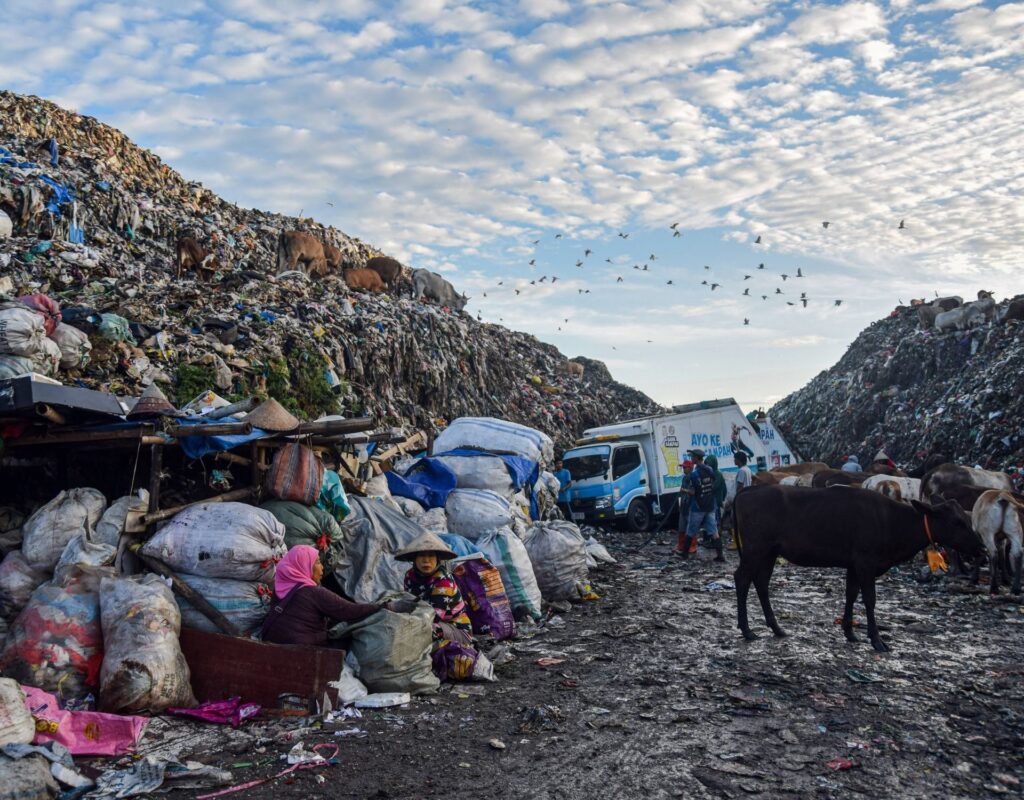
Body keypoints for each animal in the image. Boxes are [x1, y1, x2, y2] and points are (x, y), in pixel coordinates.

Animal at [737, 487, 983, 647]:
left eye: (965, 518)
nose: (980, 546)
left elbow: (851, 594)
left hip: (770, 552)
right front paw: (876, 639)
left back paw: (775, 627)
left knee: (761, 582)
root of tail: (748, 491)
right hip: (755, 549)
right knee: (742, 579)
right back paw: (747, 629)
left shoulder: (854, 564)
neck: (893, 522)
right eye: (957, 522)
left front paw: (849, 631)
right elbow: (870, 599)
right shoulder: (866, 562)